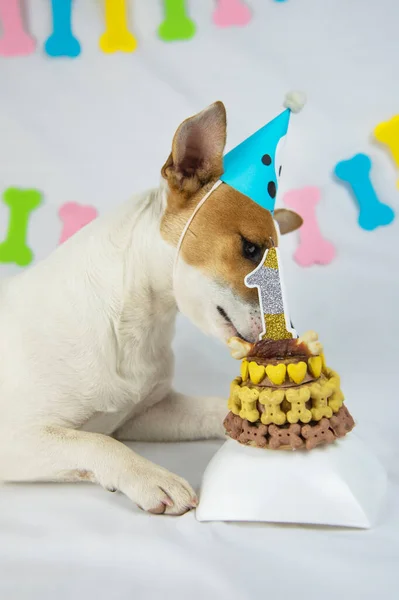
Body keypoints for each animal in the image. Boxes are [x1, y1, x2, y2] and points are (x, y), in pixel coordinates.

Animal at [0, 102, 302, 516]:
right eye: (251, 249)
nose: (289, 339)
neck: (135, 323)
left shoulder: (146, 414)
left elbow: (216, 408)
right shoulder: (19, 436)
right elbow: (98, 442)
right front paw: (152, 477)